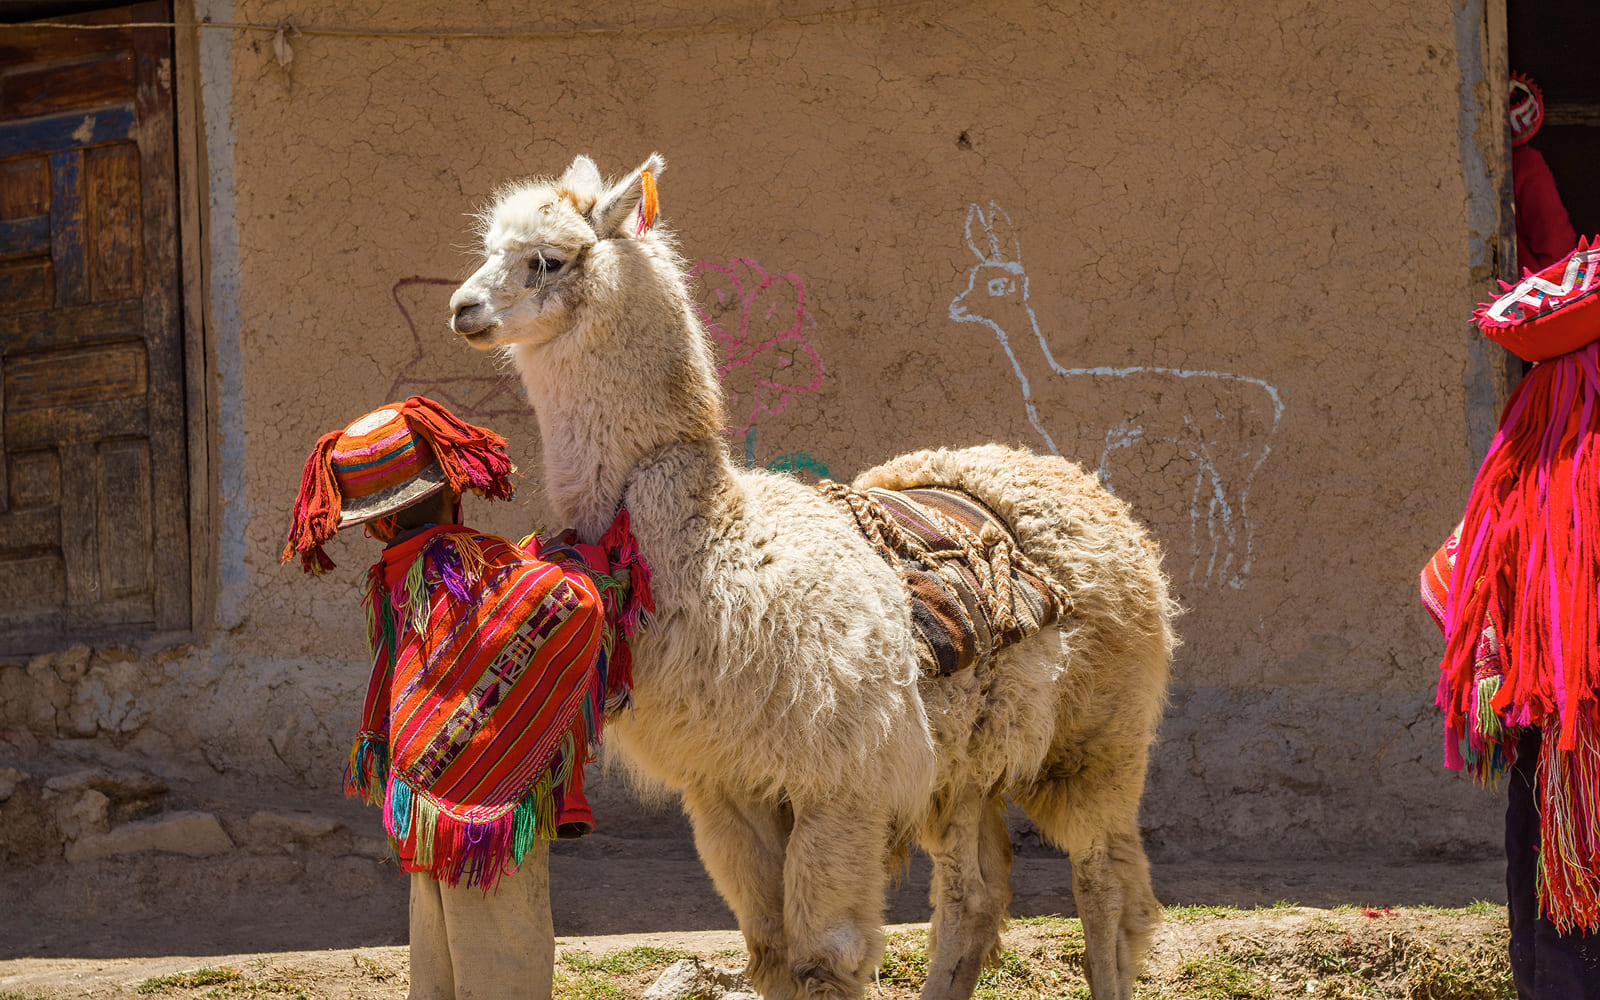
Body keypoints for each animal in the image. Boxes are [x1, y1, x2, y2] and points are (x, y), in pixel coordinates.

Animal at [448, 154, 1177, 1000]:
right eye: (489, 248)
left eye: (548, 259)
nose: (463, 309)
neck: (720, 546)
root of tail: (1070, 477)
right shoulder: (726, 780)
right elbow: (769, 949)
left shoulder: (843, 777)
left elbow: (824, 957)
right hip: (963, 757)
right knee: (976, 892)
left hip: (1099, 733)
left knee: (1106, 881)